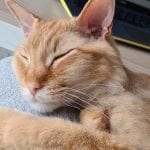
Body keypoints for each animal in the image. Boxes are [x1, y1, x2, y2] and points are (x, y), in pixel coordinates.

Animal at [0, 0, 150, 149]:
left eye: (59, 57)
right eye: (25, 58)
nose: (32, 87)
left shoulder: (133, 143)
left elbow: (49, 129)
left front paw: (5, 119)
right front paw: (94, 117)